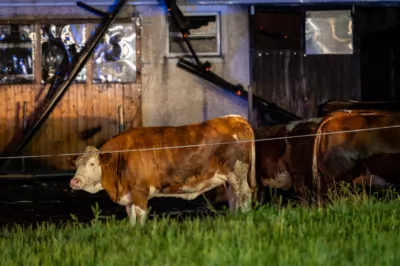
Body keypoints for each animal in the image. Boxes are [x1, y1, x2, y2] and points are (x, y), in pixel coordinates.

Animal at [66, 114, 256, 227]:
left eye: (92, 163)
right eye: (77, 164)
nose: (74, 181)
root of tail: (235, 118)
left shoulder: (140, 191)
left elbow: (140, 215)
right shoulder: (129, 196)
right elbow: (131, 216)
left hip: (237, 173)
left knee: (244, 195)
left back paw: (245, 219)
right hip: (230, 179)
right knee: (234, 197)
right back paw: (234, 219)